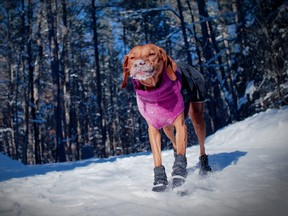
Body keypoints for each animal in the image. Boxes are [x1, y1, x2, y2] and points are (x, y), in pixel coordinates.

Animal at [121, 43, 212, 192]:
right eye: (132, 57)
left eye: (152, 54)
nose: (138, 63)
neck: (155, 93)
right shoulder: (153, 130)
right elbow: (158, 157)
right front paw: (159, 181)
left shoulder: (181, 126)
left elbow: (181, 154)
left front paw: (178, 177)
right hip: (166, 127)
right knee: (174, 140)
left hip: (197, 117)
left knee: (201, 144)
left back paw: (204, 168)